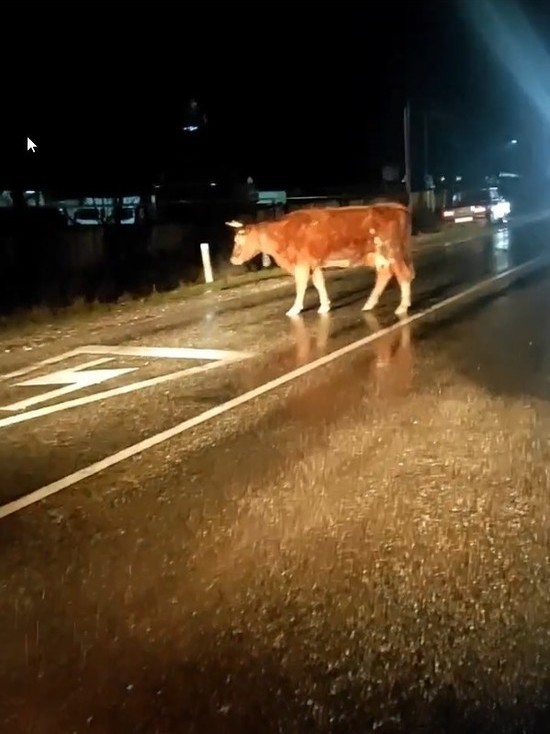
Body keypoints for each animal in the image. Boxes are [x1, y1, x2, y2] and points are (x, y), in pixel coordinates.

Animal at [226, 203, 416, 318]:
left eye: (238, 241)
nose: (232, 259)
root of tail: (396, 206)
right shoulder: (313, 263)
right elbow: (319, 283)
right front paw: (325, 306)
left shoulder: (301, 264)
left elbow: (301, 285)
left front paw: (295, 309)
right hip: (382, 255)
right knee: (385, 275)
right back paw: (370, 304)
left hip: (392, 251)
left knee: (404, 275)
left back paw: (402, 306)